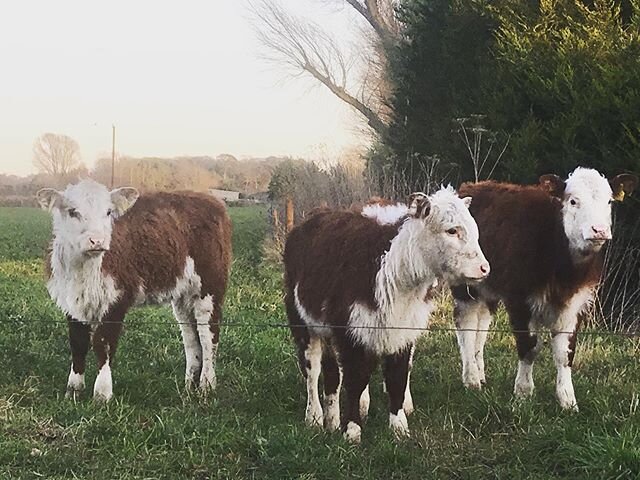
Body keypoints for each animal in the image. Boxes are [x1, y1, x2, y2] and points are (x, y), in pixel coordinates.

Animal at [37, 180, 232, 402]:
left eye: (108, 212)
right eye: (72, 211)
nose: (97, 241)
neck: (84, 268)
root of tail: (211, 200)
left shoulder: (116, 300)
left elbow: (104, 344)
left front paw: (102, 394)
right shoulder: (73, 302)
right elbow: (78, 343)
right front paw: (73, 390)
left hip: (209, 289)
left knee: (209, 335)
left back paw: (207, 385)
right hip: (184, 296)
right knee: (191, 338)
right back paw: (189, 386)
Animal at [284, 188, 490, 442]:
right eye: (451, 230)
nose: (484, 268)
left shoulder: (402, 330)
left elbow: (397, 376)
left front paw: (399, 427)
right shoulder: (351, 330)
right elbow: (355, 379)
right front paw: (352, 430)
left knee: (332, 373)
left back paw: (331, 421)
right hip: (302, 323)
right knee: (313, 371)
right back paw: (314, 417)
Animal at [452, 168, 636, 408]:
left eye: (609, 201)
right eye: (573, 201)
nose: (599, 230)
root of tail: (472, 186)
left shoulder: (576, 304)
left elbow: (565, 353)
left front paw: (568, 401)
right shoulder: (520, 299)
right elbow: (529, 347)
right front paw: (523, 393)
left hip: (487, 287)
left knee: (481, 325)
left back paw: (480, 375)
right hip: (464, 286)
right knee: (466, 325)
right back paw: (471, 379)